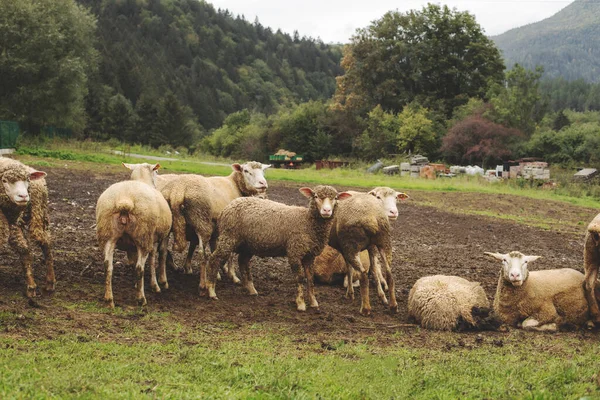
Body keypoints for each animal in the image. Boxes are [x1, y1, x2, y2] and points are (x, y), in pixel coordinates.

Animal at [95, 162, 172, 306]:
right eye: (156, 172)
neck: (142, 180)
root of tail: (125, 200)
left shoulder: (131, 245)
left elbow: (132, 261)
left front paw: (136, 284)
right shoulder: (154, 239)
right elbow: (153, 259)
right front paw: (155, 285)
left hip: (108, 235)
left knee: (108, 265)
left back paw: (109, 299)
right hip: (143, 236)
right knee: (139, 268)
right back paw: (141, 299)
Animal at [205, 186, 352, 310]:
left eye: (336, 198)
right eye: (315, 196)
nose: (326, 211)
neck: (307, 222)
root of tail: (228, 207)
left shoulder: (310, 255)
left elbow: (310, 279)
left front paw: (313, 302)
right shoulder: (294, 252)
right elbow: (300, 278)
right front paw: (301, 304)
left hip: (248, 244)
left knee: (243, 261)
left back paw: (251, 289)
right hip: (228, 237)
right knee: (214, 259)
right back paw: (211, 290)